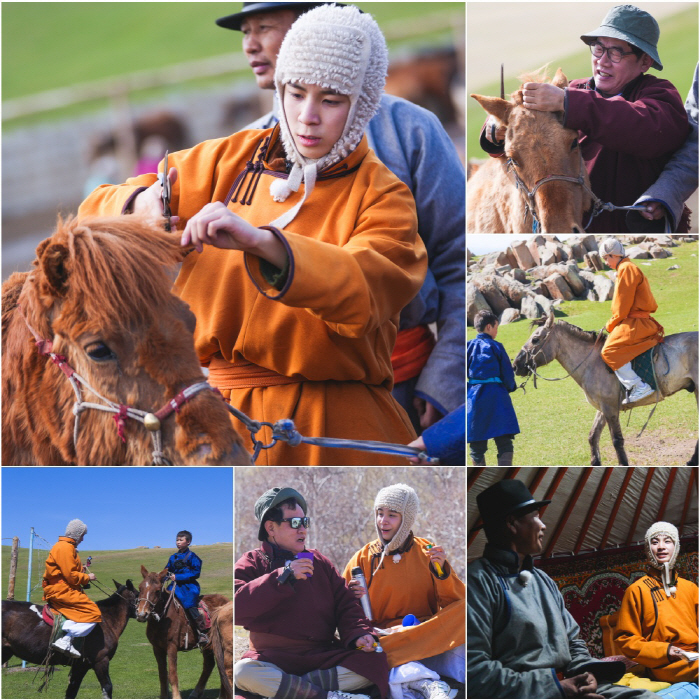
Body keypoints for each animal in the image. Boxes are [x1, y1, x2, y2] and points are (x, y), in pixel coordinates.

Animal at [2, 580, 137, 700]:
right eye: (138, 594)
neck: (106, 620)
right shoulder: (100, 661)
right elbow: (107, 687)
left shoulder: (81, 665)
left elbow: (71, 691)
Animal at [138, 568, 231, 696]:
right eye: (140, 588)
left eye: (157, 591)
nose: (142, 614)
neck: (163, 619)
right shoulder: (157, 648)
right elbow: (162, 675)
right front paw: (164, 696)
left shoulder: (171, 647)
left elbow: (172, 675)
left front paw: (176, 696)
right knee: (210, 665)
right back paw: (197, 692)